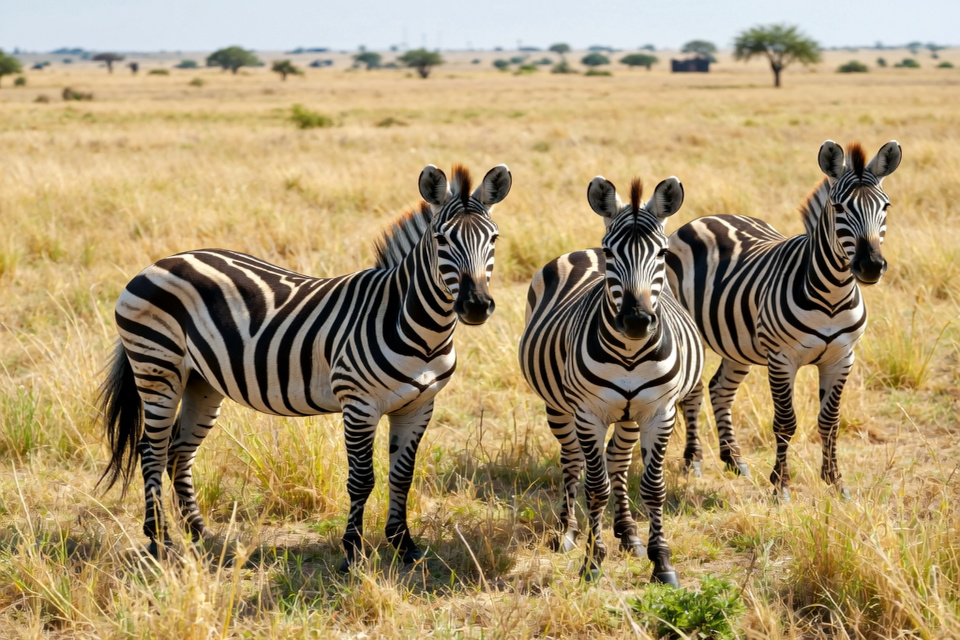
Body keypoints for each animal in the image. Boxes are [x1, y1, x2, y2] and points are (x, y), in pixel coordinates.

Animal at [98, 163, 512, 568]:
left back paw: (202, 536)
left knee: (179, 451)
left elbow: (402, 476)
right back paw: (159, 540)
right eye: (442, 240)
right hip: (158, 369)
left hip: (202, 382)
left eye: (494, 239)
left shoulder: (419, 406)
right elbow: (362, 479)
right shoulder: (358, 404)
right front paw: (353, 552)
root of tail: (160, 263)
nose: (476, 306)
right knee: (151, 450)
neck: (415, 325)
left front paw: (403, 545)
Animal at [519, 175, 703, 585]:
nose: (636, 321)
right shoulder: (589, 414)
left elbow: (652, 486)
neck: (630, 353)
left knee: (618, 461)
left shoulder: (659, 412)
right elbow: (596, 487)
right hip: (559, 407)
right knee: (572, 461)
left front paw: (661, 560)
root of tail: (582, 251)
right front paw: (592, 560)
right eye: (611, 253)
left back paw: (629, 533)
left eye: (662, 254)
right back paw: (567, 531)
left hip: (629, 416)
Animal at [667, 140, 901, 499]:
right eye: (838, 207)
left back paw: (734, 459)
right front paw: (781, 486)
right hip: (693, 333)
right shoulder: (781, 359)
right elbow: (785, 422)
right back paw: (694, 460)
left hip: (738, 343)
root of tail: (708, 217)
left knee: (720, 389)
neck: (832, 295)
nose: (871, 266)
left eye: (885, 206)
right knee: (693, 394)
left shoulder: (842, 358)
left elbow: (830, 420)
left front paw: (836, 483)